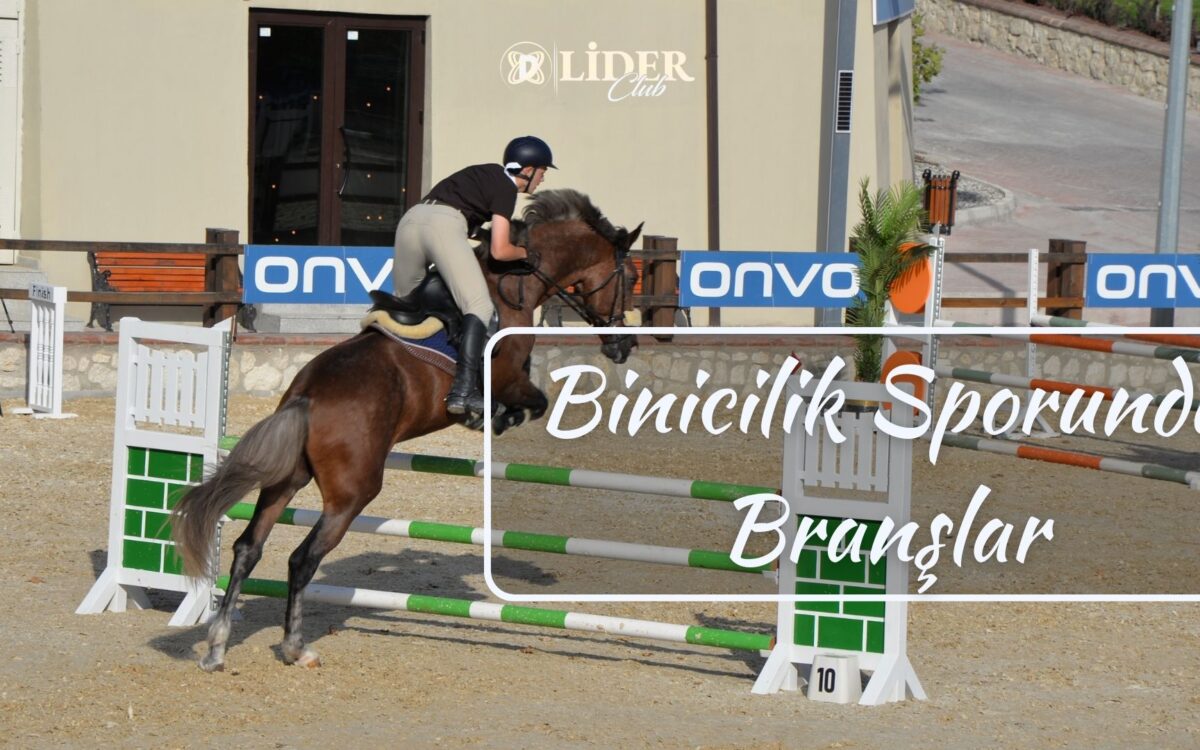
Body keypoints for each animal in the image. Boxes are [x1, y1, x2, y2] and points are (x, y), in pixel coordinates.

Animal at [172, 189, 642, 672]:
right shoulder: (509, 377)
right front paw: (490, 415)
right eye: (630, 276)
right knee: (302, 560)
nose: (625, 344)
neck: (515, 282)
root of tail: (306, 397)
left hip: (286, 479)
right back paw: (295, 647)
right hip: (352, 494)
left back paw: (217, 646)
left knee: (248, 548)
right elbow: (536, 401)